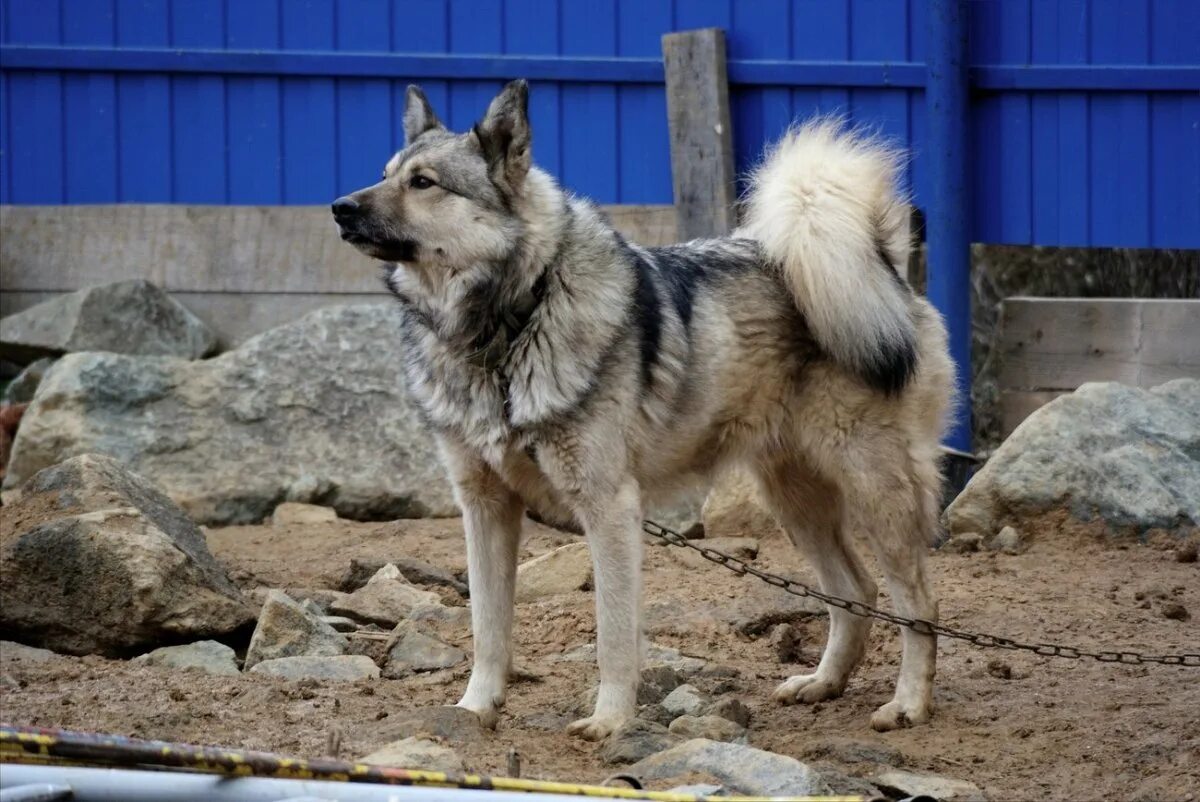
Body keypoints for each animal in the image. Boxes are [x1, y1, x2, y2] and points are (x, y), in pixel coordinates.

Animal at [336, 78, 955, 734]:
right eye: (384, 174)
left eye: (423, 183)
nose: (339, 208)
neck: (508, 331)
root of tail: (884, 263)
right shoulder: (484, 508)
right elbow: (488, 628)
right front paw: (475, 708)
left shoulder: (608, 507)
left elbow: (612, 634)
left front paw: (610, 721)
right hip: (795, 499)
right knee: (856, 592)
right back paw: (824, 683)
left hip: (873, 491)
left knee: (918, 601)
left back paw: (908, 703)